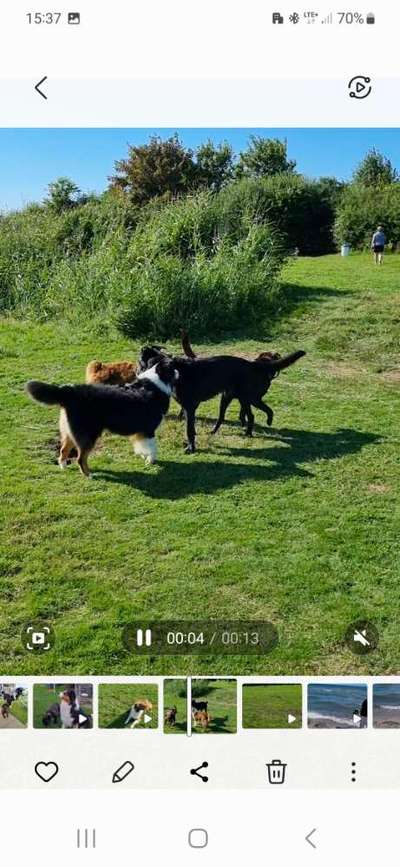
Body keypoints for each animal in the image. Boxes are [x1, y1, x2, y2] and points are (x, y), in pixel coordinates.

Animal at [25, 360, 179, 482]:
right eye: (172, 366)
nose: (179, 372)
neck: (156, 382)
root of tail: (70, 391)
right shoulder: (148, 429)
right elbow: (153, 447)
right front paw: (150, 461)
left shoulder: (140, 431)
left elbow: (141, 445)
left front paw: (143, 456)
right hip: (88, 434)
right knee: (80, 458)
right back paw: (88, 475)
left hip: (69, 432)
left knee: (63, 450)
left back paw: (63, 467)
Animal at [138, 346, 306, 454]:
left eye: (141, 362)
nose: (138, 373)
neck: (174, 370)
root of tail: (252, 364)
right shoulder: (188, 408)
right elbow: (190, 428)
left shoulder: (190, 406)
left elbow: (189, 429)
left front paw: (191, 448)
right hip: (233, 398)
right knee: (238, 416)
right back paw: (230, 431)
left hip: (248, 398)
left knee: (254, 414)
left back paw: (252, 431)